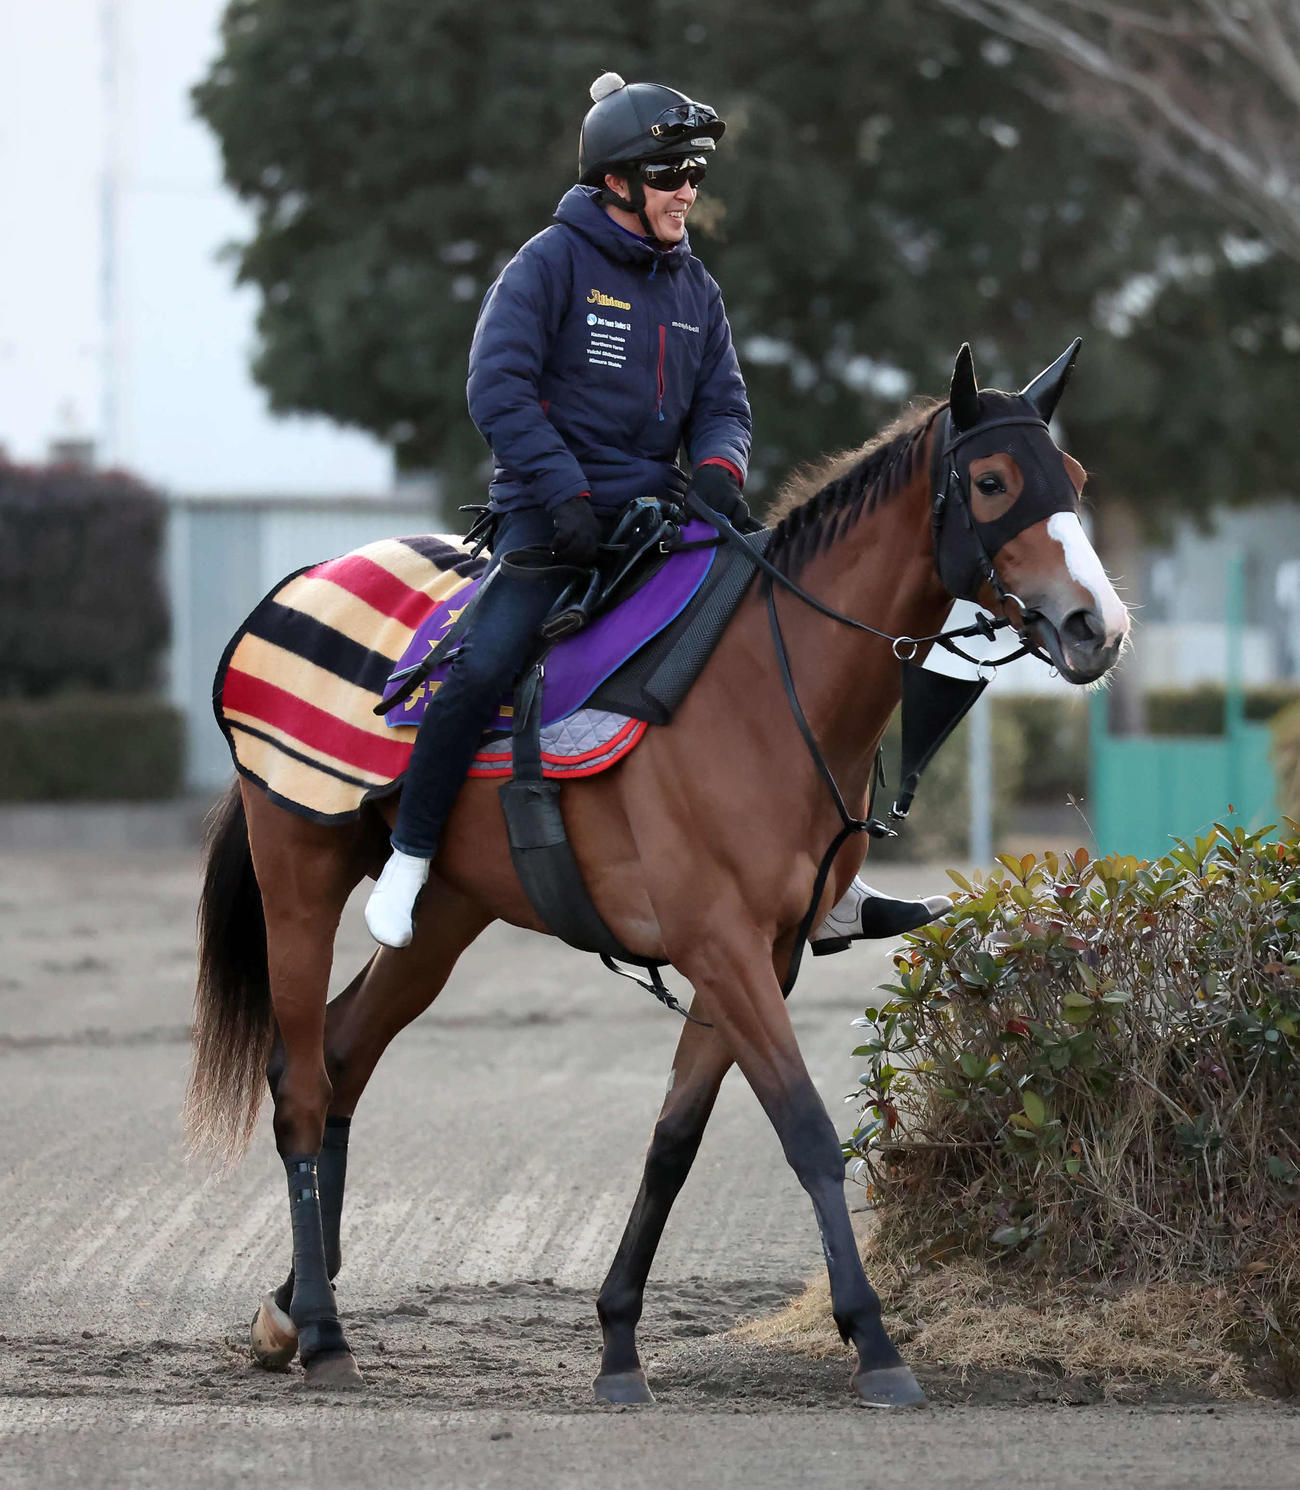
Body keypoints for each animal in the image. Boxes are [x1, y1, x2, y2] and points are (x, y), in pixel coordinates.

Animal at [187, 342, 1130, 1406]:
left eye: (1075, 478)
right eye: (994, 481)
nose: (1096, 625)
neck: (765, 689)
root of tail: (298, 582)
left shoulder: (763, 953)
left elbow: (674, 1142)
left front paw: (618, 1341)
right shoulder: (721, 944)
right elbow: (806, 1131)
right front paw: (874, 1342)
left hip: (446, 914)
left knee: (346, 1053)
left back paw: (289, 1306)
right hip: (299, 867)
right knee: (301, 1079)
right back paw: (319, 1327)